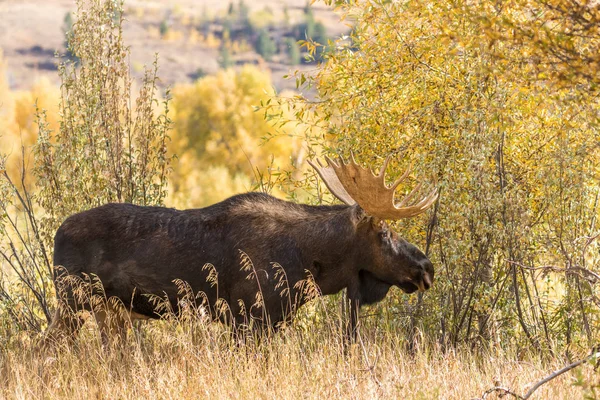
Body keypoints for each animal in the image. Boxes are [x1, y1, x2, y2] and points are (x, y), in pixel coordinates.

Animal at [45, 154, 436, 344]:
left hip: (107, 310)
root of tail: (56, 234)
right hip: (72, 301)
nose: (426, 267)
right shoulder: (248, 316)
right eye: (384, 232)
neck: (309, 263)